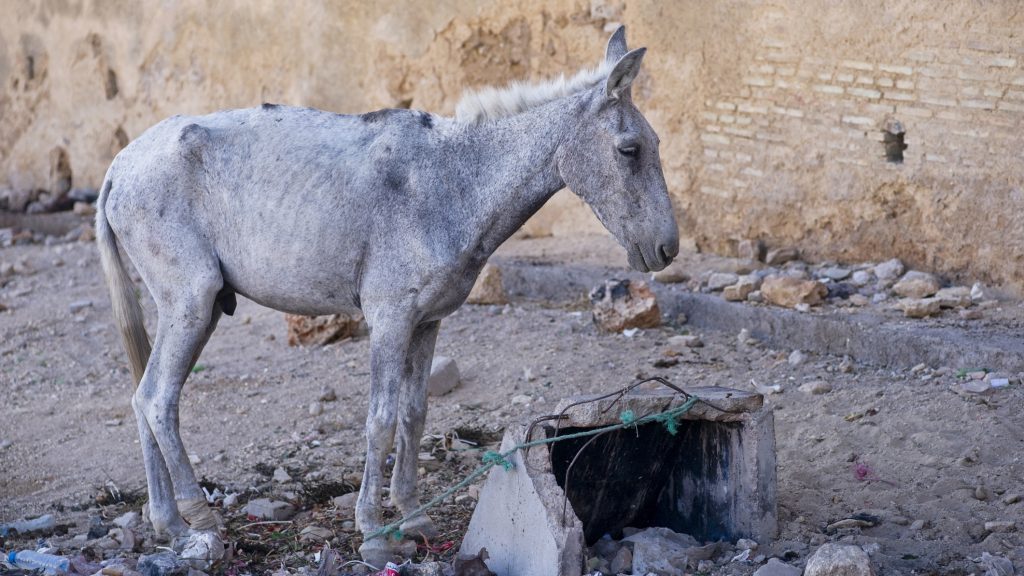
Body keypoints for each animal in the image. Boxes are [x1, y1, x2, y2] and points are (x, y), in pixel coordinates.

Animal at [97, 26, 679, 565]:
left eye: (653, 145)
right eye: (629, 150)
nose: (667, 247)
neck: (454, 180)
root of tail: (119, 164)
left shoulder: (427, 322)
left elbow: (414, 414)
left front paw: (413, 517)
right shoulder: (390, 318)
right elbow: (379, 421)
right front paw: (374, 535)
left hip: (195, 310)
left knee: (143, 397)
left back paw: (169, 525)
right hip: (192, 303)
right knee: (158, 399)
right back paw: (199, 519)